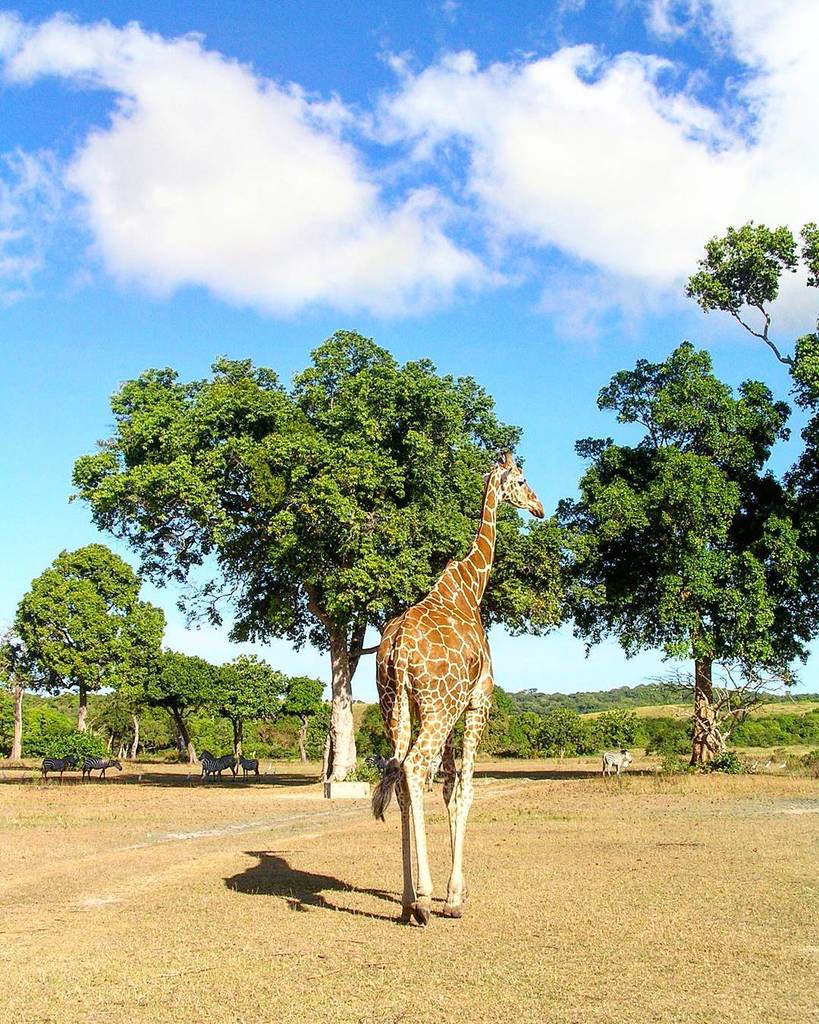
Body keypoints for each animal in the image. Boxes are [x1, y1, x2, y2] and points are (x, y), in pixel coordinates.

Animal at [372, 451, 544, 925]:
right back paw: (424, 901)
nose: (539, 507)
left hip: (394, 706)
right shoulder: (476, 701)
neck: (471, 588)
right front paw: (454, 897)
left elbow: (448, 791)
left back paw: (408, 898)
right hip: (437, 707)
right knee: (414, 769)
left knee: (399, 775)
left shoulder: (447, 708)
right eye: (521, 480)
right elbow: (465, 791)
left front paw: (454, 891)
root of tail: (397, 648)